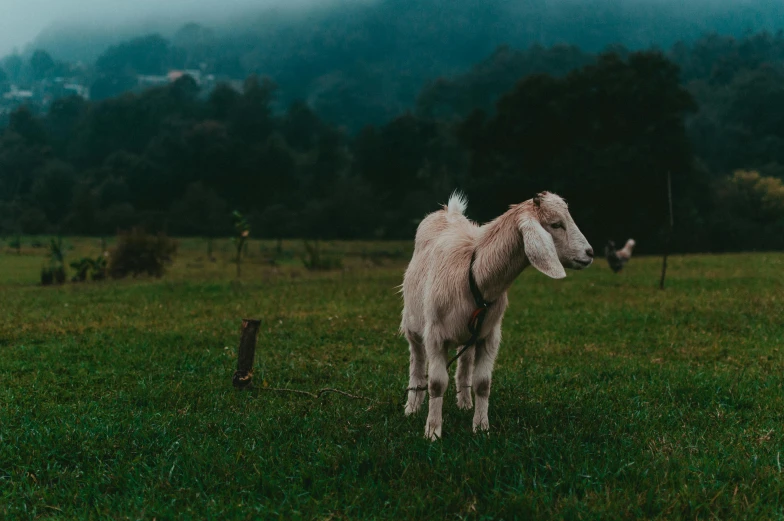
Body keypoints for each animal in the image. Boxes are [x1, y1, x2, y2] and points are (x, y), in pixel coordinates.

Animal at [402, 191, 592, 438]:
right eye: (556, 224)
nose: (590, 253)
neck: (474, 273)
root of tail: (448, 211)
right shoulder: (435, 335)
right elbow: (436, 383)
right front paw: (433, 431)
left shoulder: (489, 335)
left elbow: (483, 383)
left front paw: (481, 427)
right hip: (413, 325)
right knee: (417, 360)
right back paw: (412, 406)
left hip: (469, 333)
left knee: (465, 363)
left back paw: (465, 402)